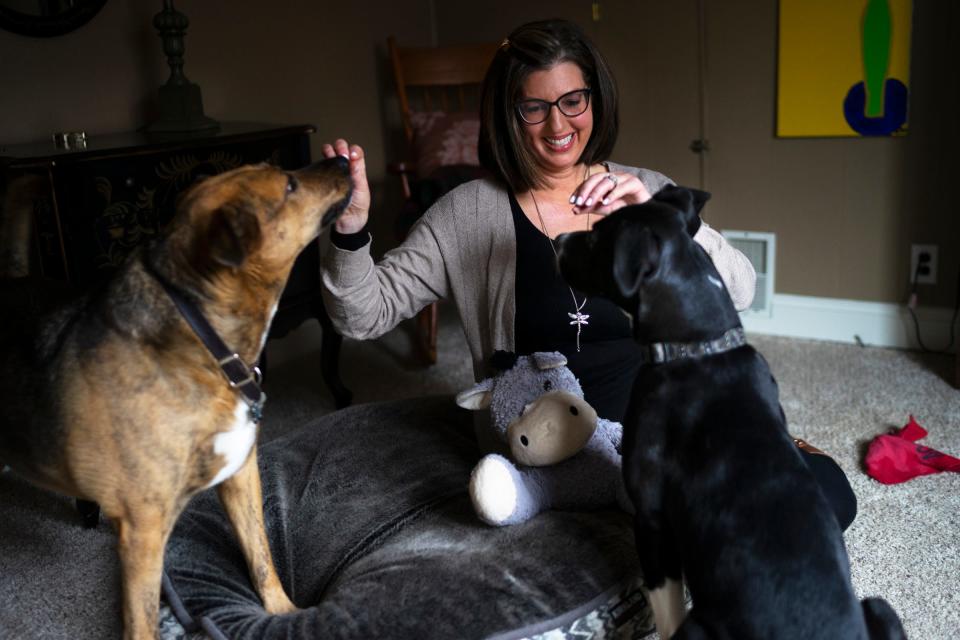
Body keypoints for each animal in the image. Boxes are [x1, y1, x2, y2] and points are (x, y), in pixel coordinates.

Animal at [0, 158, 352, 636]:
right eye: (290, 184)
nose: (343, 160)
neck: (204, 344)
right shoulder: (142, 533)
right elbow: (143, 622)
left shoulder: (241, 475)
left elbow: (261, 559)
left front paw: (284, 614)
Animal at [552, 188, 904, 640]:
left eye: (596, 237)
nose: (558, 239)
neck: (699, 345)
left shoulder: (651, 521)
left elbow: (664, 607)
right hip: (878, 607)